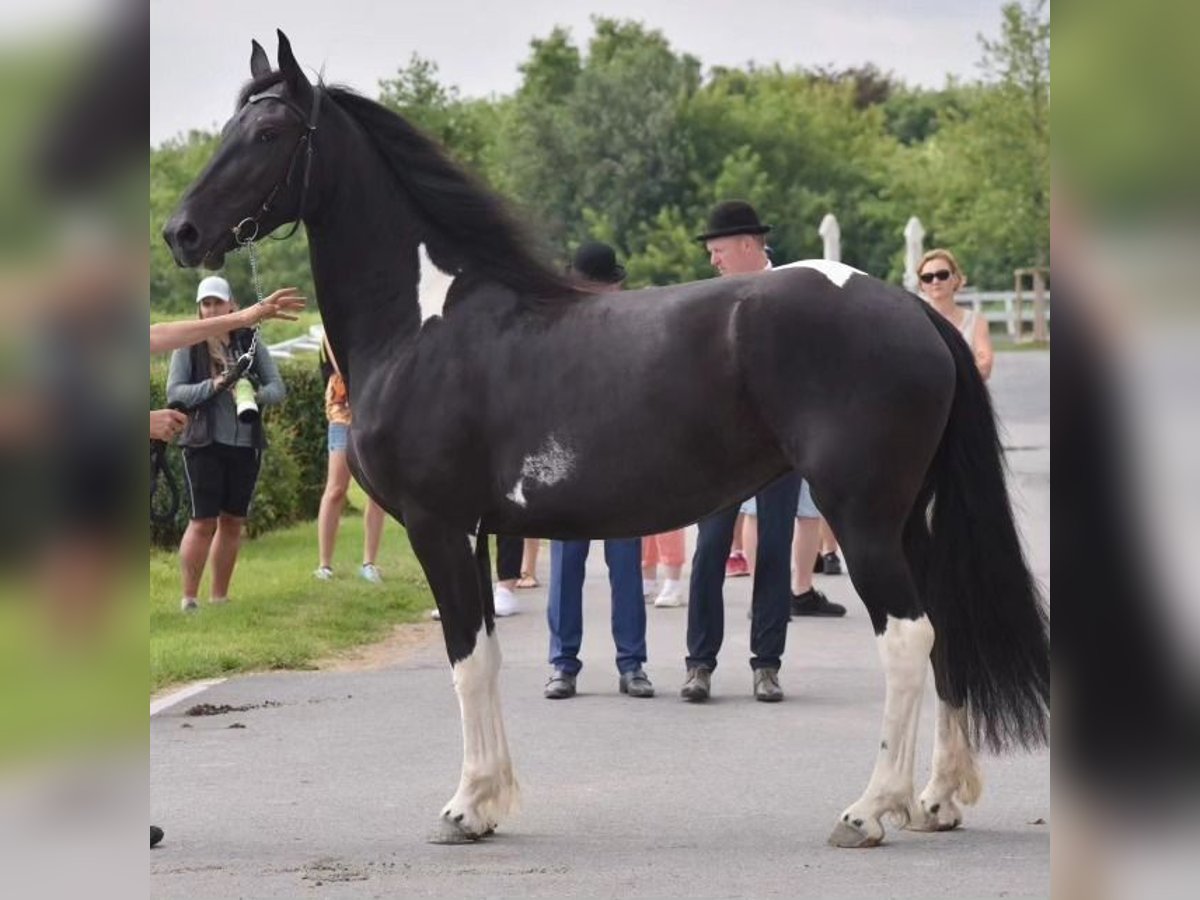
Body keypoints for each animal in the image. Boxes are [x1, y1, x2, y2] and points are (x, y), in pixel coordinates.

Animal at [164, 33, 1046, 854]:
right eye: (230, 126)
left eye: (269, 131)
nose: (182, 231)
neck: (426, 326)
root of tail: (912, 310)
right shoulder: (475, 534)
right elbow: (484, 654)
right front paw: (490, 801)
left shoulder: (438, 527)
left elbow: (465, 659)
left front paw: (465, 807)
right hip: (913, 521)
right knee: (946, 632)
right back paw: (938, 800)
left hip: (861, 519)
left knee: (907, 637)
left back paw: (869, 810)